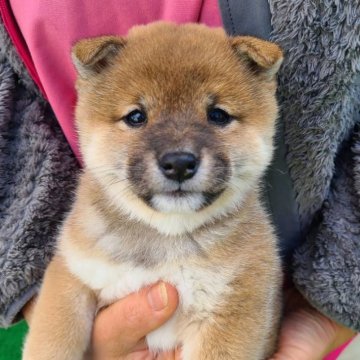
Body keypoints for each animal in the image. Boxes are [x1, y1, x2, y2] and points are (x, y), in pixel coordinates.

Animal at [22, 23, 284, 360]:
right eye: (136, 116)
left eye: (218, 115)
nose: (179, 163)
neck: (164, 238)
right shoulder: (73, 272)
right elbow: (52, 339)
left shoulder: (232, 308)